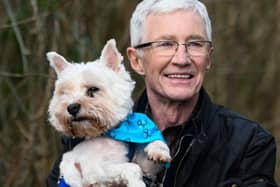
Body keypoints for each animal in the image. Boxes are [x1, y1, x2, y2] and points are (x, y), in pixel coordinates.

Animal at [46, 38, 171, 187]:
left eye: (93, 89)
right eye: (65, 93)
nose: (71, 107)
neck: (111, 133)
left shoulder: (146, 166)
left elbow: (148, 149)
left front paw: (159, 150)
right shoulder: (96, 172)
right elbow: (132, 167)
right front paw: (137, 183)